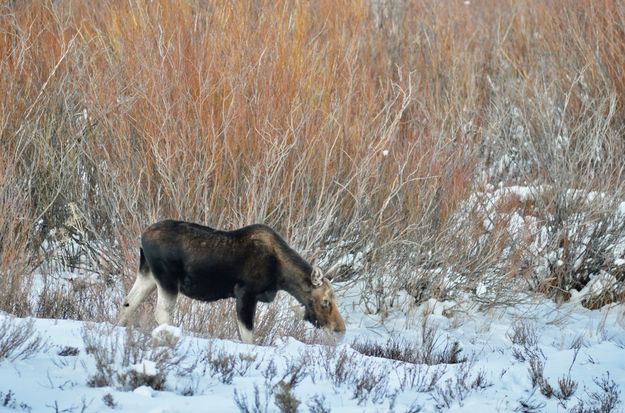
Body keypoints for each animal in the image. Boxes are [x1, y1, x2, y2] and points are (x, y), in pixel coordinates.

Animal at [118, 219, 346, 342]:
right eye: (325, 301)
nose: (340, 329)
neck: (281, 275)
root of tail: (142, 237)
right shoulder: (246, 293)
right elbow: (248, 336)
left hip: (147, 274)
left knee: (128, 302)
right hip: (168, 279)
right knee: (161, 312)